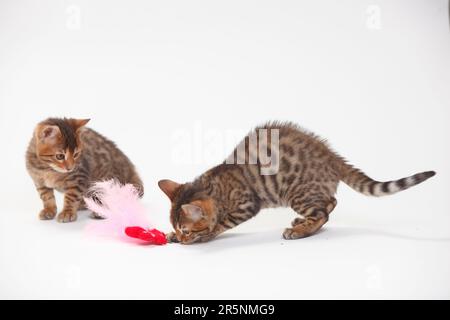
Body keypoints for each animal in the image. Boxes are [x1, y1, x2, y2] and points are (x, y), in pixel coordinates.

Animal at [159, 121, 436, 244]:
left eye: (187, 230)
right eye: (178, 229)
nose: (182, 238)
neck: (214, 187)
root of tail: (332, 156)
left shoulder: (246, 205)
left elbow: (220, 224)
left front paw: (204, 235)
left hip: (297, 193)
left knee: (323, 211)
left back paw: (301, 230)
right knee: (330, 203)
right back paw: (302, 223)